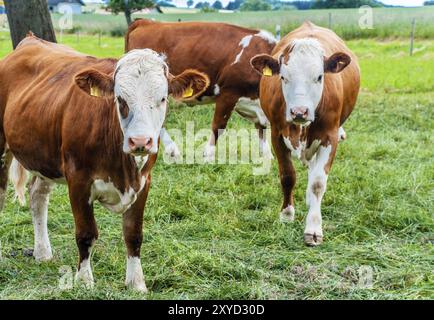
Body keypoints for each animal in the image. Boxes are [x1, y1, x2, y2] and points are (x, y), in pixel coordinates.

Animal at [0, 33, 209, 292]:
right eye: (120, 99)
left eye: (162, 98)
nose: (140, 141)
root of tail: (30, 40)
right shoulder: (78, 180)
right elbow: (86, 233)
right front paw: (84, 281)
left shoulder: (144, 182)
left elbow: (133, 234)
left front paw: (136, 283)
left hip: (44, 155)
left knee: (37, 195)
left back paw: (43, 253)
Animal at [124, 18, 278, 161]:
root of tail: (145, 22)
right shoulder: (228, 93)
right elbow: (218, 125)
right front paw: (208, 155)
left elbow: (261, 128)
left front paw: (267, 155)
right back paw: (170, 150)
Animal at [249, 21, 362, 245]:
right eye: (283, 77)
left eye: (319, 77)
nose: (299, 111)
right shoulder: (277, 135)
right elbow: (287, 176)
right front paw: (286, 215)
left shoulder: (330, 138)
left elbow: (318, 182)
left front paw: (313, 228)